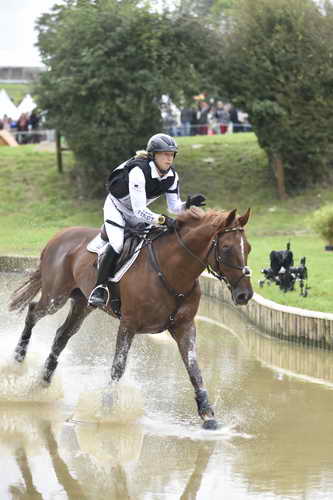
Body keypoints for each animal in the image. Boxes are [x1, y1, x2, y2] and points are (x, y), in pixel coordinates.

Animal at [8, 207, 252, 430]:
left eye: (248, 248)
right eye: (227, 248)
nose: (245, 295)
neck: (173, 271)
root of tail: (59, 235)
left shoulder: (184, 327)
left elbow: (194, 368)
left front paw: (207, 414)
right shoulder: (129, 324)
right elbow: (118, 366)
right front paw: (106, 410)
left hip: (82, 303)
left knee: (62, 335)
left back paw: (43, 382)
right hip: (55, 297)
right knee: (33, 312)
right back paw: (18, 358)